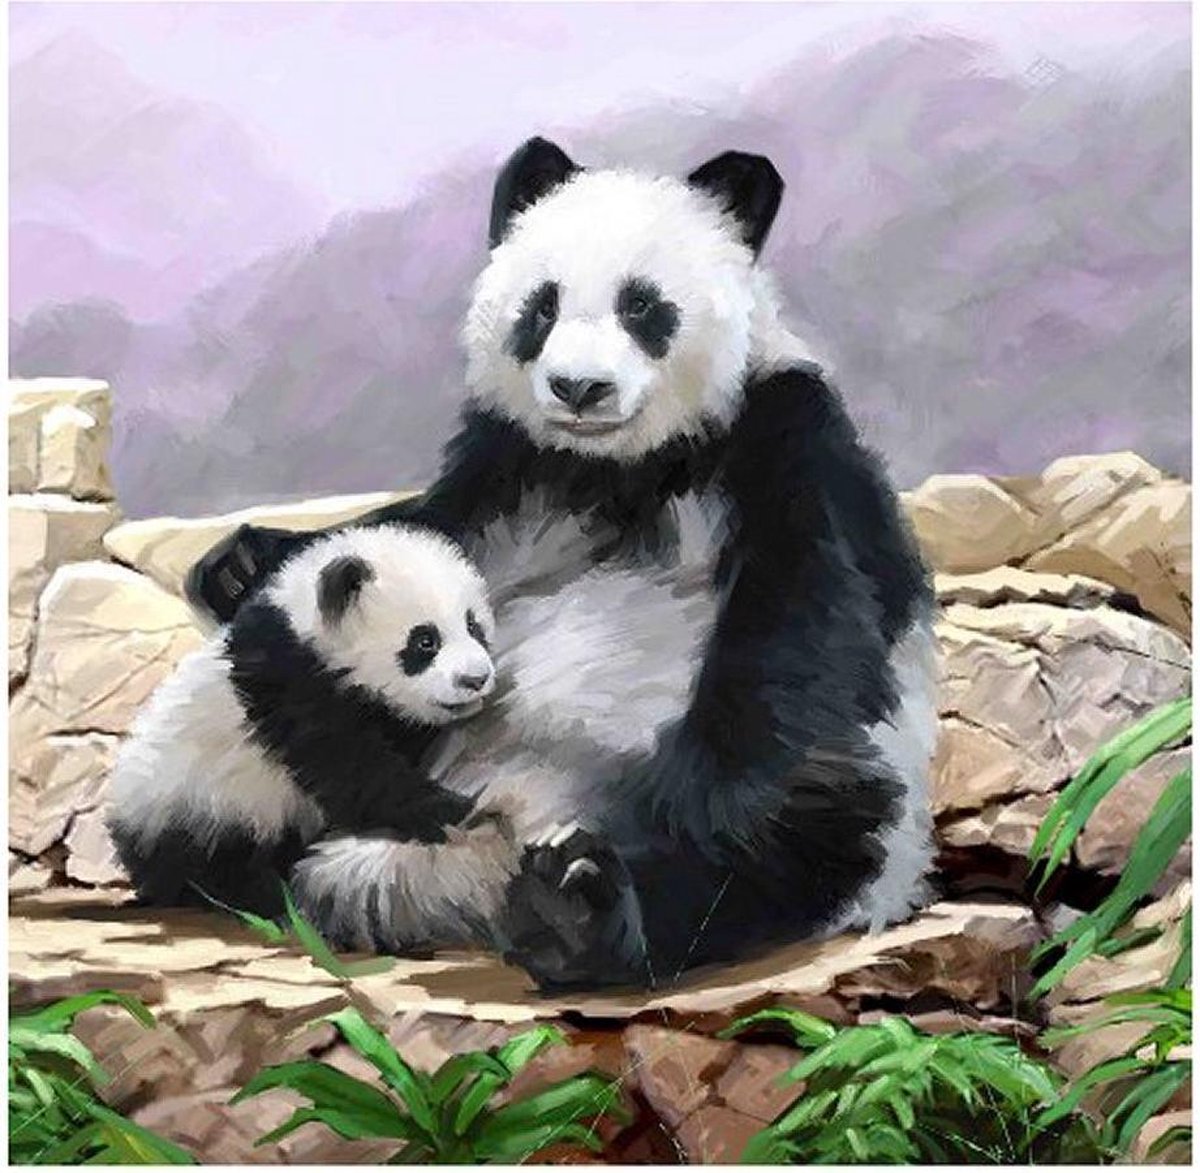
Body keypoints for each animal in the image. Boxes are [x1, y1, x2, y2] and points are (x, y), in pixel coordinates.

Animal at [107, 524, 512, 943]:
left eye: (474, 626)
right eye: (425, 641)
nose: (476, 679)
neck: (305, 626)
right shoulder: (289, 680)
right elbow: (346, 763)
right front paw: (449, 809)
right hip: (197, 800)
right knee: (213, 861)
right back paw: (263, 901)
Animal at [188, 138, 938, 991]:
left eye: (641, 306)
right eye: (541, 307)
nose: (580, 387)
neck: (620, 467)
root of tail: (456, 883)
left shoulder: (785, 442)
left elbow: (794, 647)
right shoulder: (513, 466)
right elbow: (422, 531)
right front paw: (244, 562)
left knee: (806, 829)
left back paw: (579, 909)